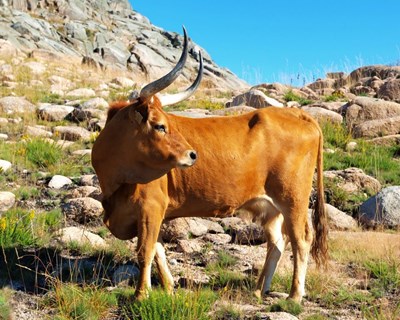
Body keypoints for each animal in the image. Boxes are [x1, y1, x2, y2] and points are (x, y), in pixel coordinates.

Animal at [92, 26, 330, 302]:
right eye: (160, 125)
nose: (192, 155)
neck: (115, 182)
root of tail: (297, 113)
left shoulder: (151, 207)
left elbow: (145, 251)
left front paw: (141, 295)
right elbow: (158, 249)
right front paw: (168, 287)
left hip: (293, 199)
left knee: (301, 239)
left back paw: (294, 295)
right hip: (271, 206)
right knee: (277, 242)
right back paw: (259, 289)